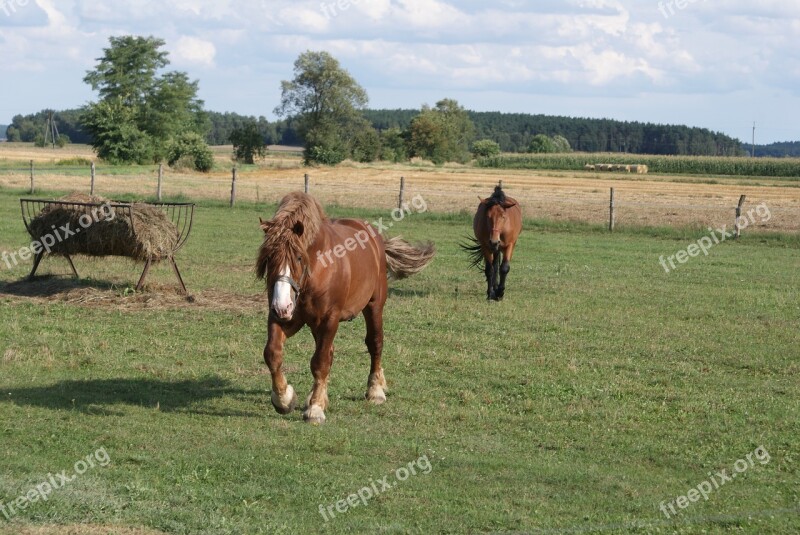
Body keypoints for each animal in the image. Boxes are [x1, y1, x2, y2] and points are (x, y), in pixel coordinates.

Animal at [256, 192, 434, 422]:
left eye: (298, 257)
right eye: (268, 258)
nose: (283, 306)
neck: (317, 270)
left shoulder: (329, 319)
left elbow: (320, 362)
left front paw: (315, 409)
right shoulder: (285, 318)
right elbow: (273, 353)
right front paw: (284, 399)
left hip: (374, 306)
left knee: (375, 343)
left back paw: (375, 390)